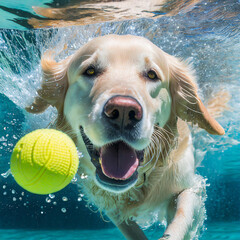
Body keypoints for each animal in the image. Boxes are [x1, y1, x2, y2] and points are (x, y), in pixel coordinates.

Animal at [26, 34, 227, 239]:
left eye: (152, 74)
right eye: (90, 71)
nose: (123, 111)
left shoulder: (190, 187)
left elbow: (179, 221)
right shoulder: (111, 207)